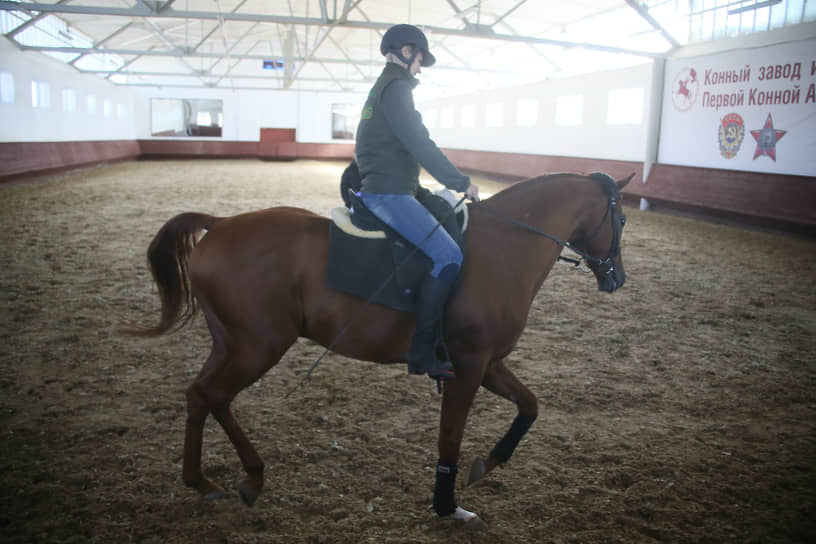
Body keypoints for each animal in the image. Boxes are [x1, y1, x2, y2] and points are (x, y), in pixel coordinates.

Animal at [119, 171, 632, 528]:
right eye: (622, 219)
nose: (617, 277)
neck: (504, 248)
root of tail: (221, 224)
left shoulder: (489, 364)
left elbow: (529, 406)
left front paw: (488, 464)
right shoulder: (467, 367)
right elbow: (450, 437)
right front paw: (448, 507)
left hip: (233, 343)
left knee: (205, 397)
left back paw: (230, 477)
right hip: (256, 346)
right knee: (211, 396)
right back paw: (219, 478)